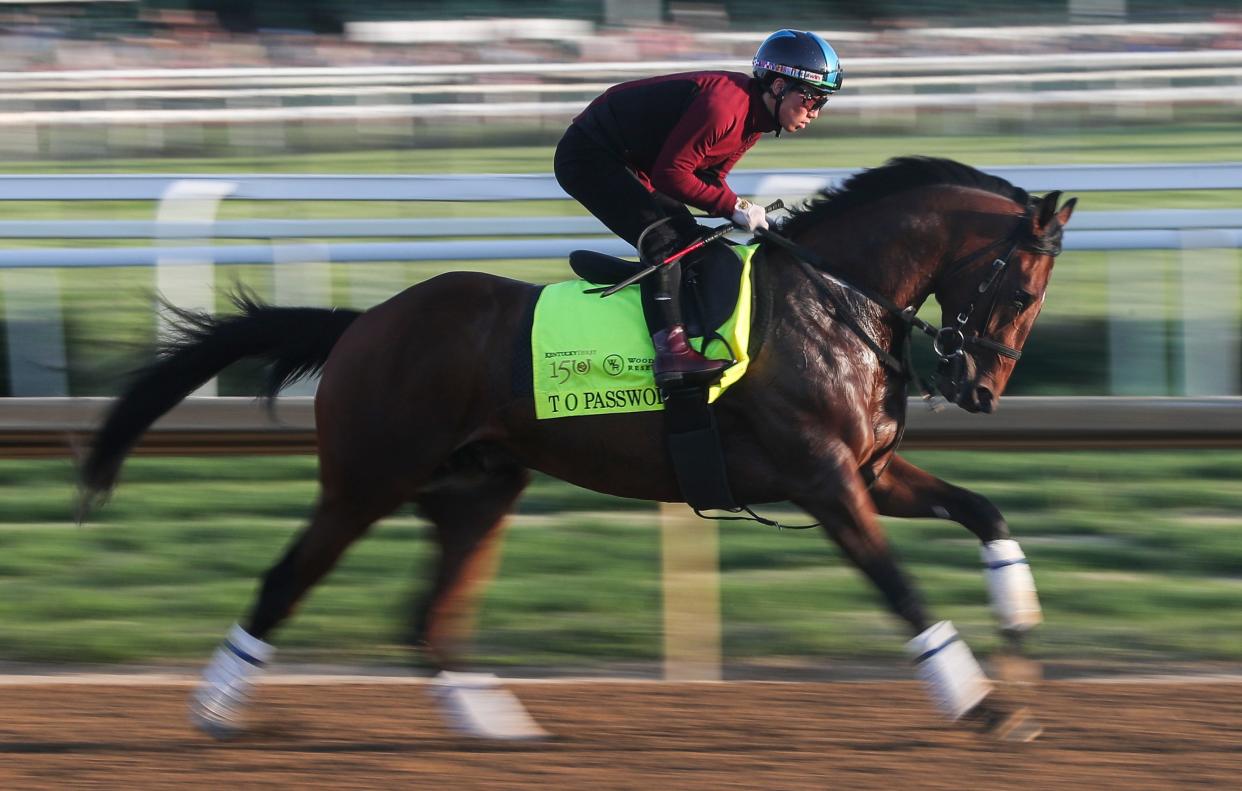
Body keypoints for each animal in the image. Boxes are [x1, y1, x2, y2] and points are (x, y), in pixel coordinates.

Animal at [77, 155, 1073, 740]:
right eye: (1024, 289)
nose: (979, 390)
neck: (833, 302)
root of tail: (363, 322)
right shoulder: (822, 476)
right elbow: (898, 585)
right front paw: (983, 702)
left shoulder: (871, 468)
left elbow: (983, 508)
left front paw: (1022, 617)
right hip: (366, 479)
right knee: (285, 581)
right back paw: (213, 707)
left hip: (478, 489)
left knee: (427, 615)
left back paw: (491, 720)